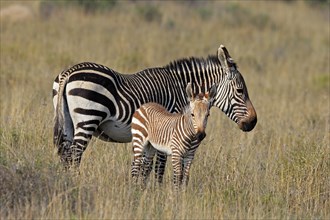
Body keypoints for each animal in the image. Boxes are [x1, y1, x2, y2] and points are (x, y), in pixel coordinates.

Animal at [52, 44, 258, 180]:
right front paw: (158, 194)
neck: (181, 89)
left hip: (68, 122)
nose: (253, 122)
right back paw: (76, 185)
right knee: (75, 156)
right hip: (87, 118)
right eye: (240, 91)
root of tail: (68, 73)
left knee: (66, 155)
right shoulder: (169, 128)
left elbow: (147, 167)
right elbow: (159, 168)